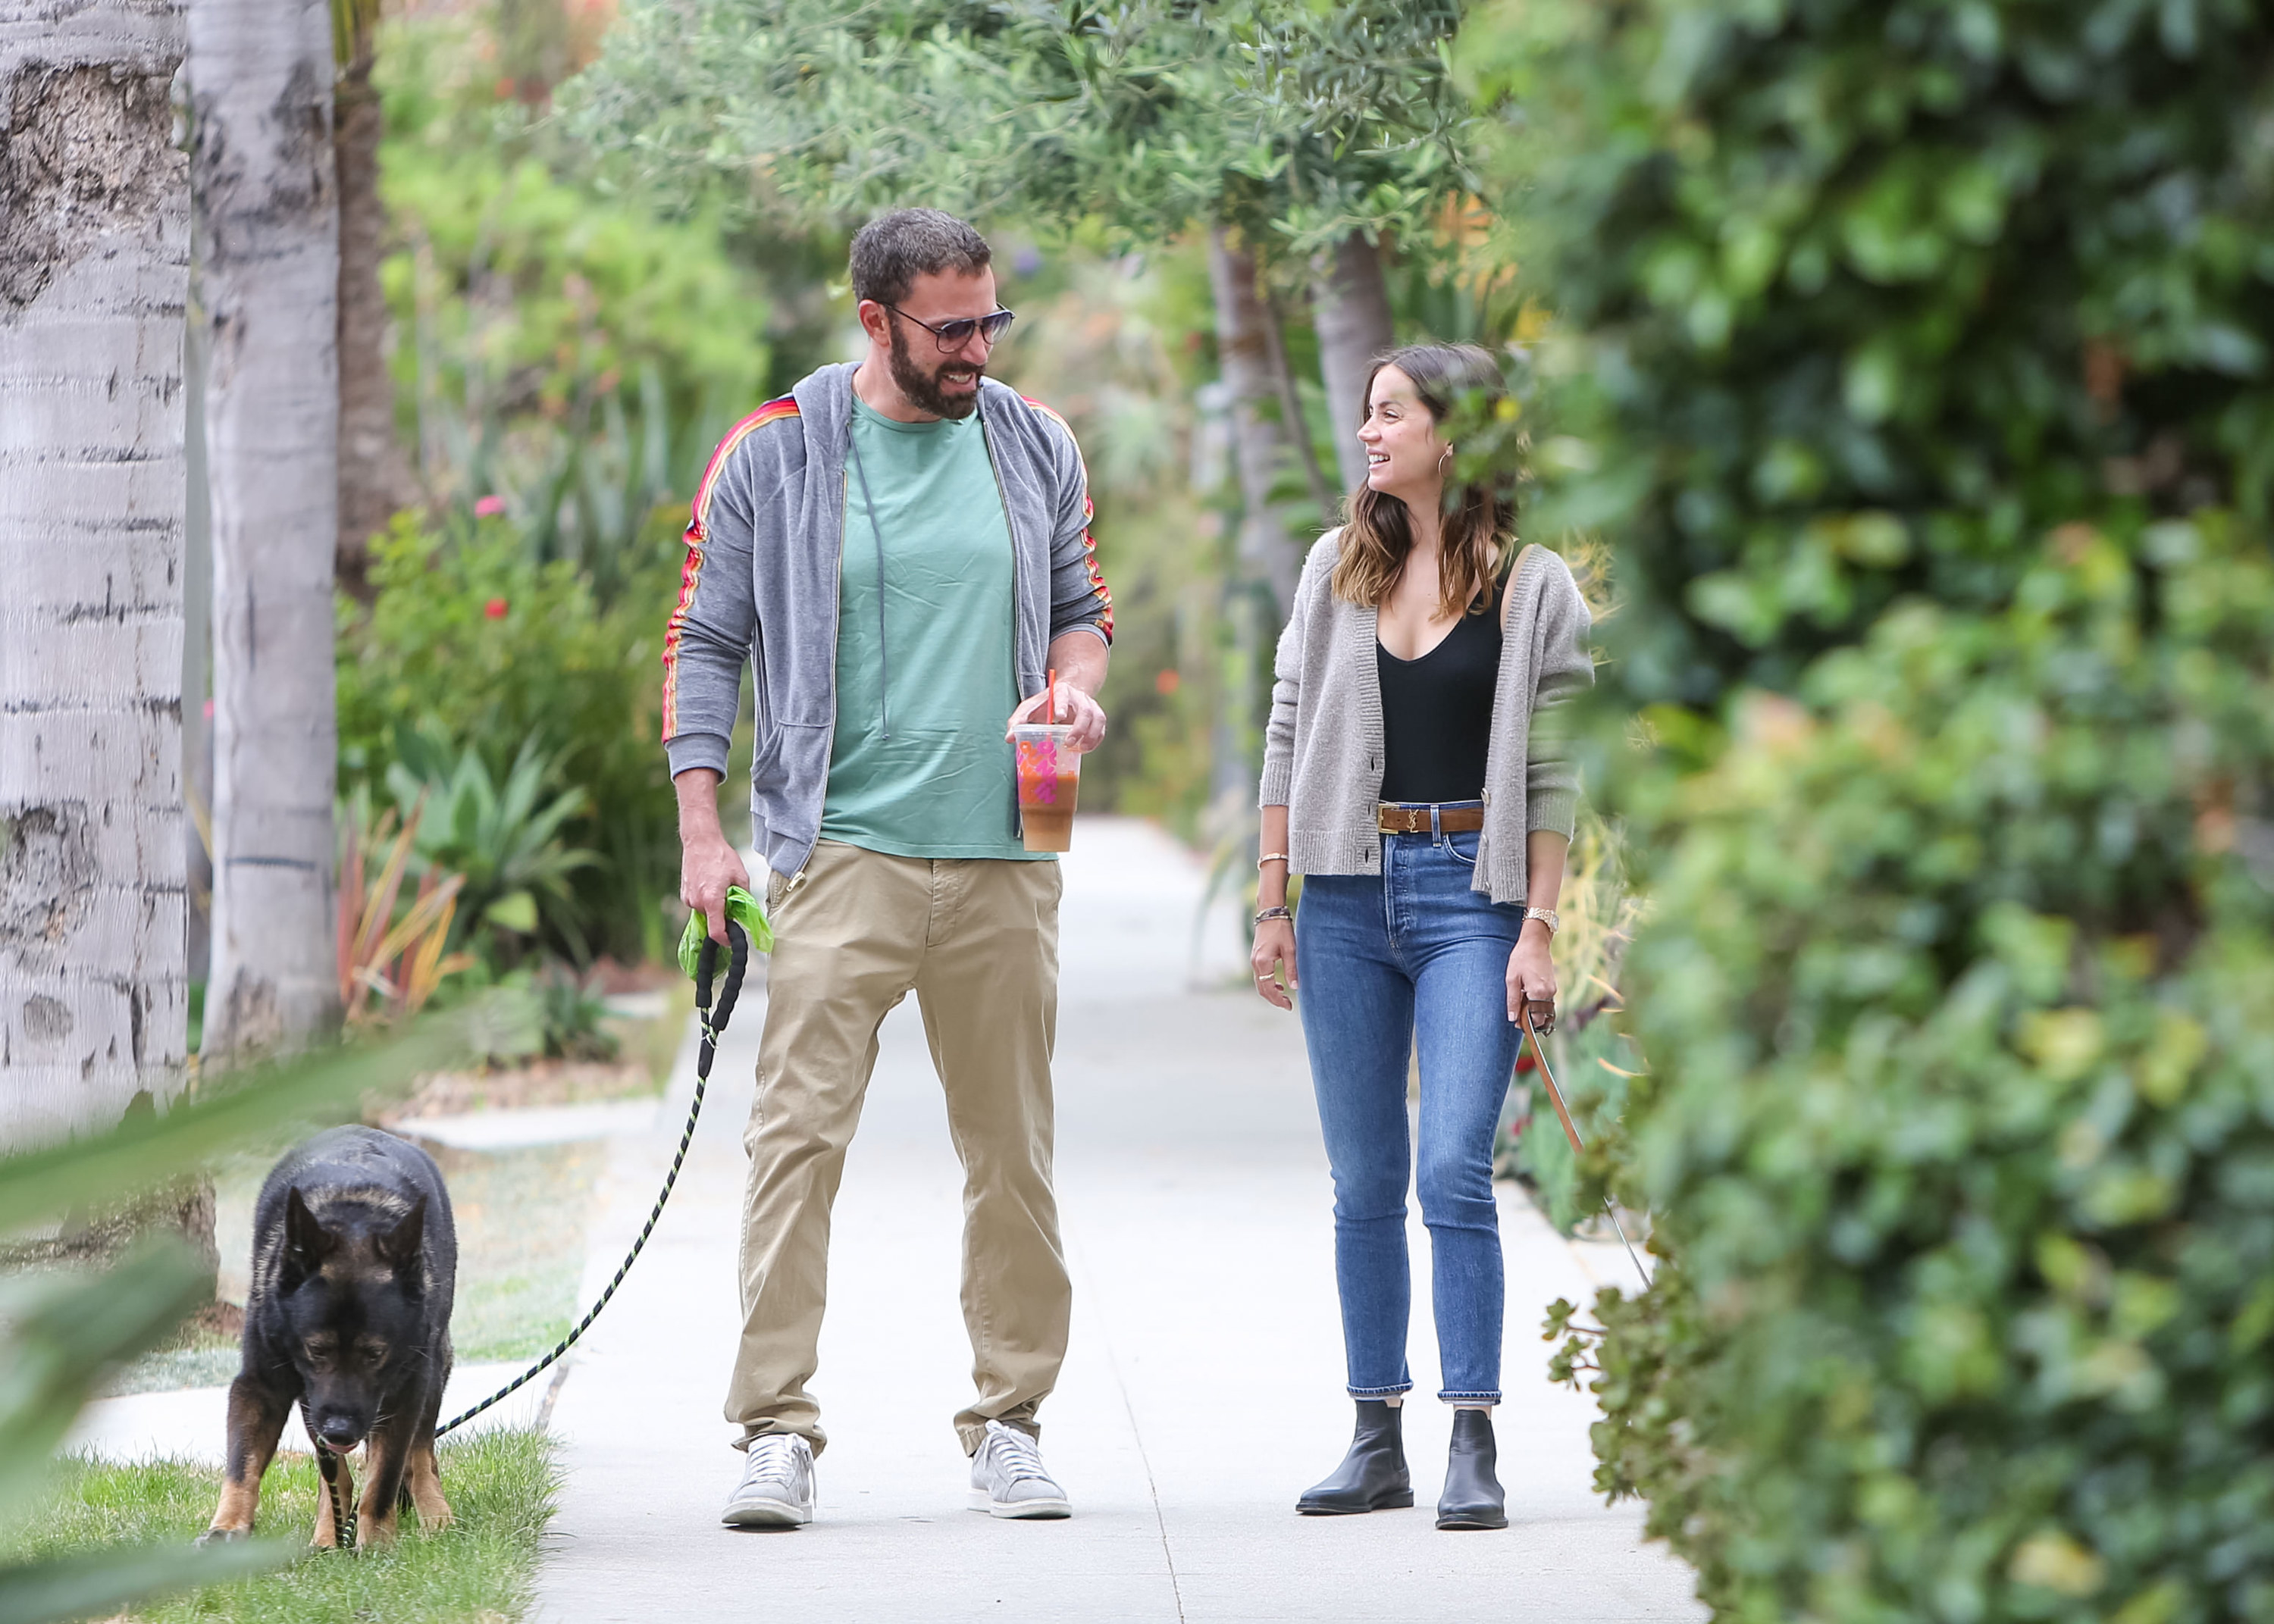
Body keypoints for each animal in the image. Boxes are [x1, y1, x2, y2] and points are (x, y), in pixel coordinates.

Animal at [200, 1119, 457, 1537]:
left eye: (375, 1354)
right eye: (316, 1350)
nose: (339, 1431)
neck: (354, 1220)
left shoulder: (404, 1393)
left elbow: (383, 1480)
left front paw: (377, 1541)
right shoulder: (263, 1386)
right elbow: (242, 1466)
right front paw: (228, 1526)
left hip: (431, 1375)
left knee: (419, 1456)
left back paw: (434, 1513)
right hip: (312, 1404)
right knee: (335, 1476)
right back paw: (326, 1534)